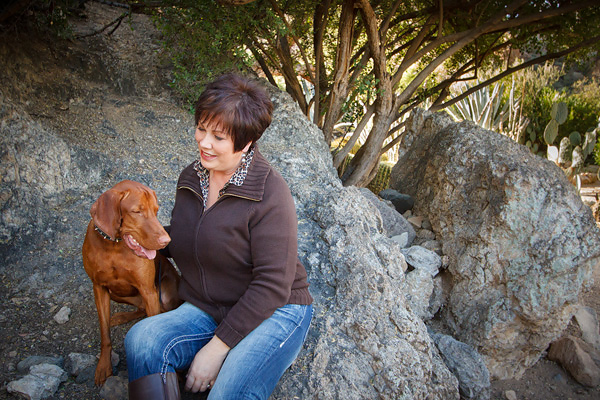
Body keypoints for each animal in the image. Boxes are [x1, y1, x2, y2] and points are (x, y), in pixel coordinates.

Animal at [82, 180, 181, 385]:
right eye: (137, 211)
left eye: (156, 210)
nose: (166, 240)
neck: (114, 245)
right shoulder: (99, 288)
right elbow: (104, 333)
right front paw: (104, 366)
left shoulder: (148, 290)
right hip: (116, 293)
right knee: (140, 308)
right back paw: (119, 317)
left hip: (163, 295)